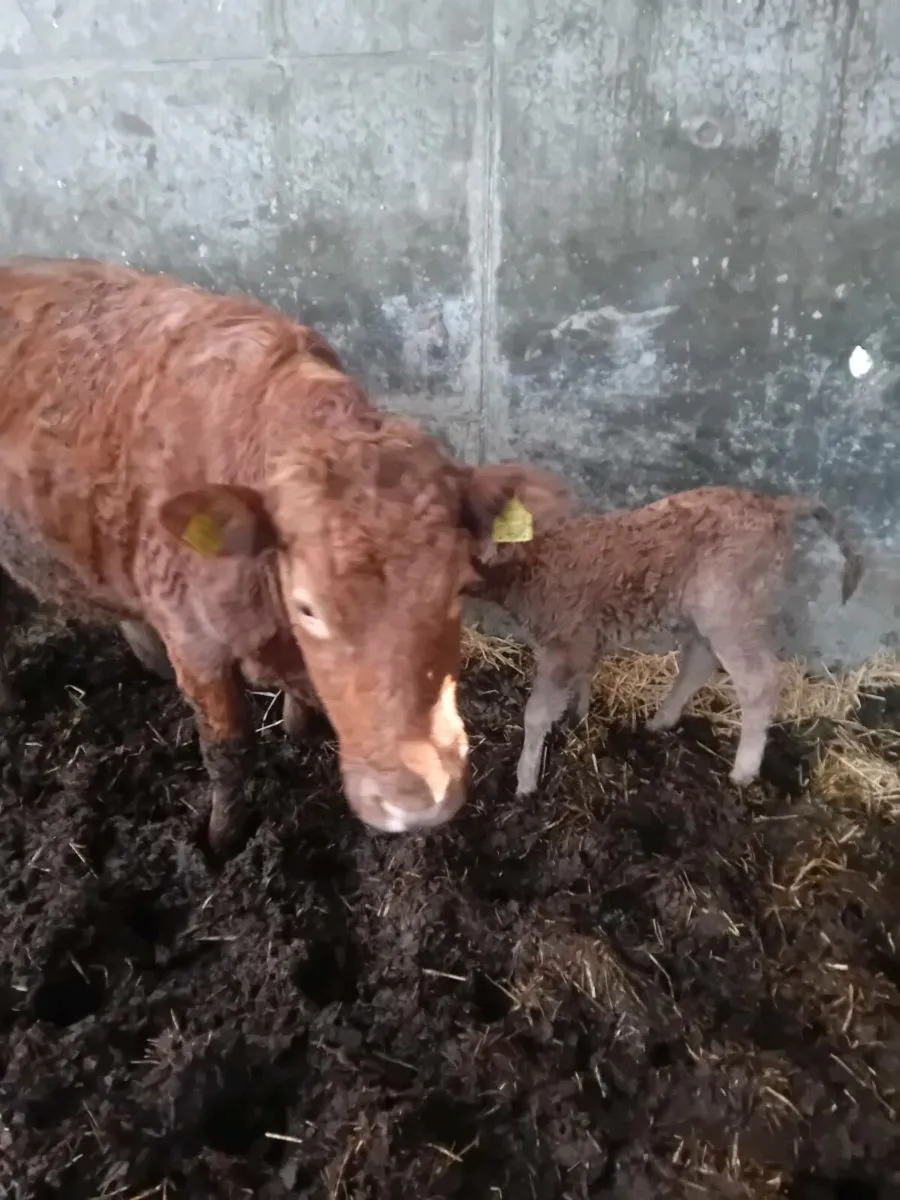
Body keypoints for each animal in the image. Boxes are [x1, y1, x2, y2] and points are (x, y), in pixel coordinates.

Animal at [0, 257, 574, 856]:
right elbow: (227, 751)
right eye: (308, 607)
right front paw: (222, 840)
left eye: (458, 590)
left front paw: (299, 730)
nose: (417, 802)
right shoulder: (196, 646)